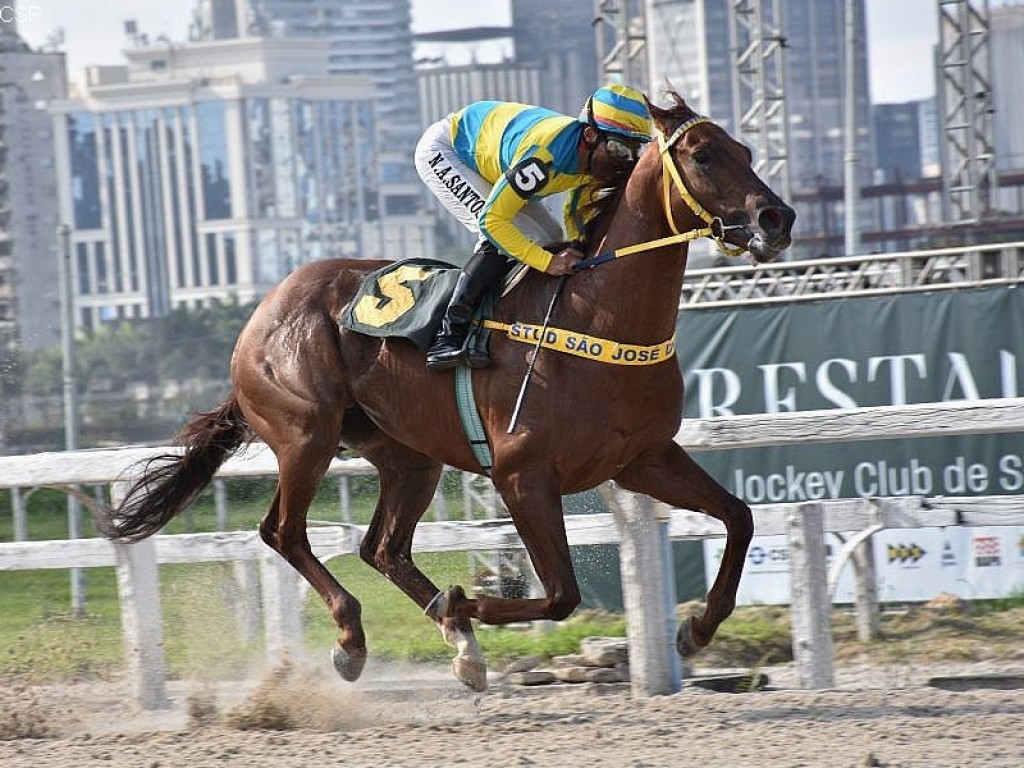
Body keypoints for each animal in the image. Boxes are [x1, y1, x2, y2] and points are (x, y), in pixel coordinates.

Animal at [101, 93, 790, 696]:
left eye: (746, 148)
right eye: (703, 155)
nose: (776, 219)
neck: (598, 318)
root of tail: (262, 312)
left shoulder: (643, 458)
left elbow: (740, 516)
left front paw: (697, 628)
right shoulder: (522, 475)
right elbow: (560, 595)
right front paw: (463, 602)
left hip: (409, 456)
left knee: (382, 547)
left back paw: (459, 645)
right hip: (305, 436)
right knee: (283, 532)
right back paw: (355, 639)